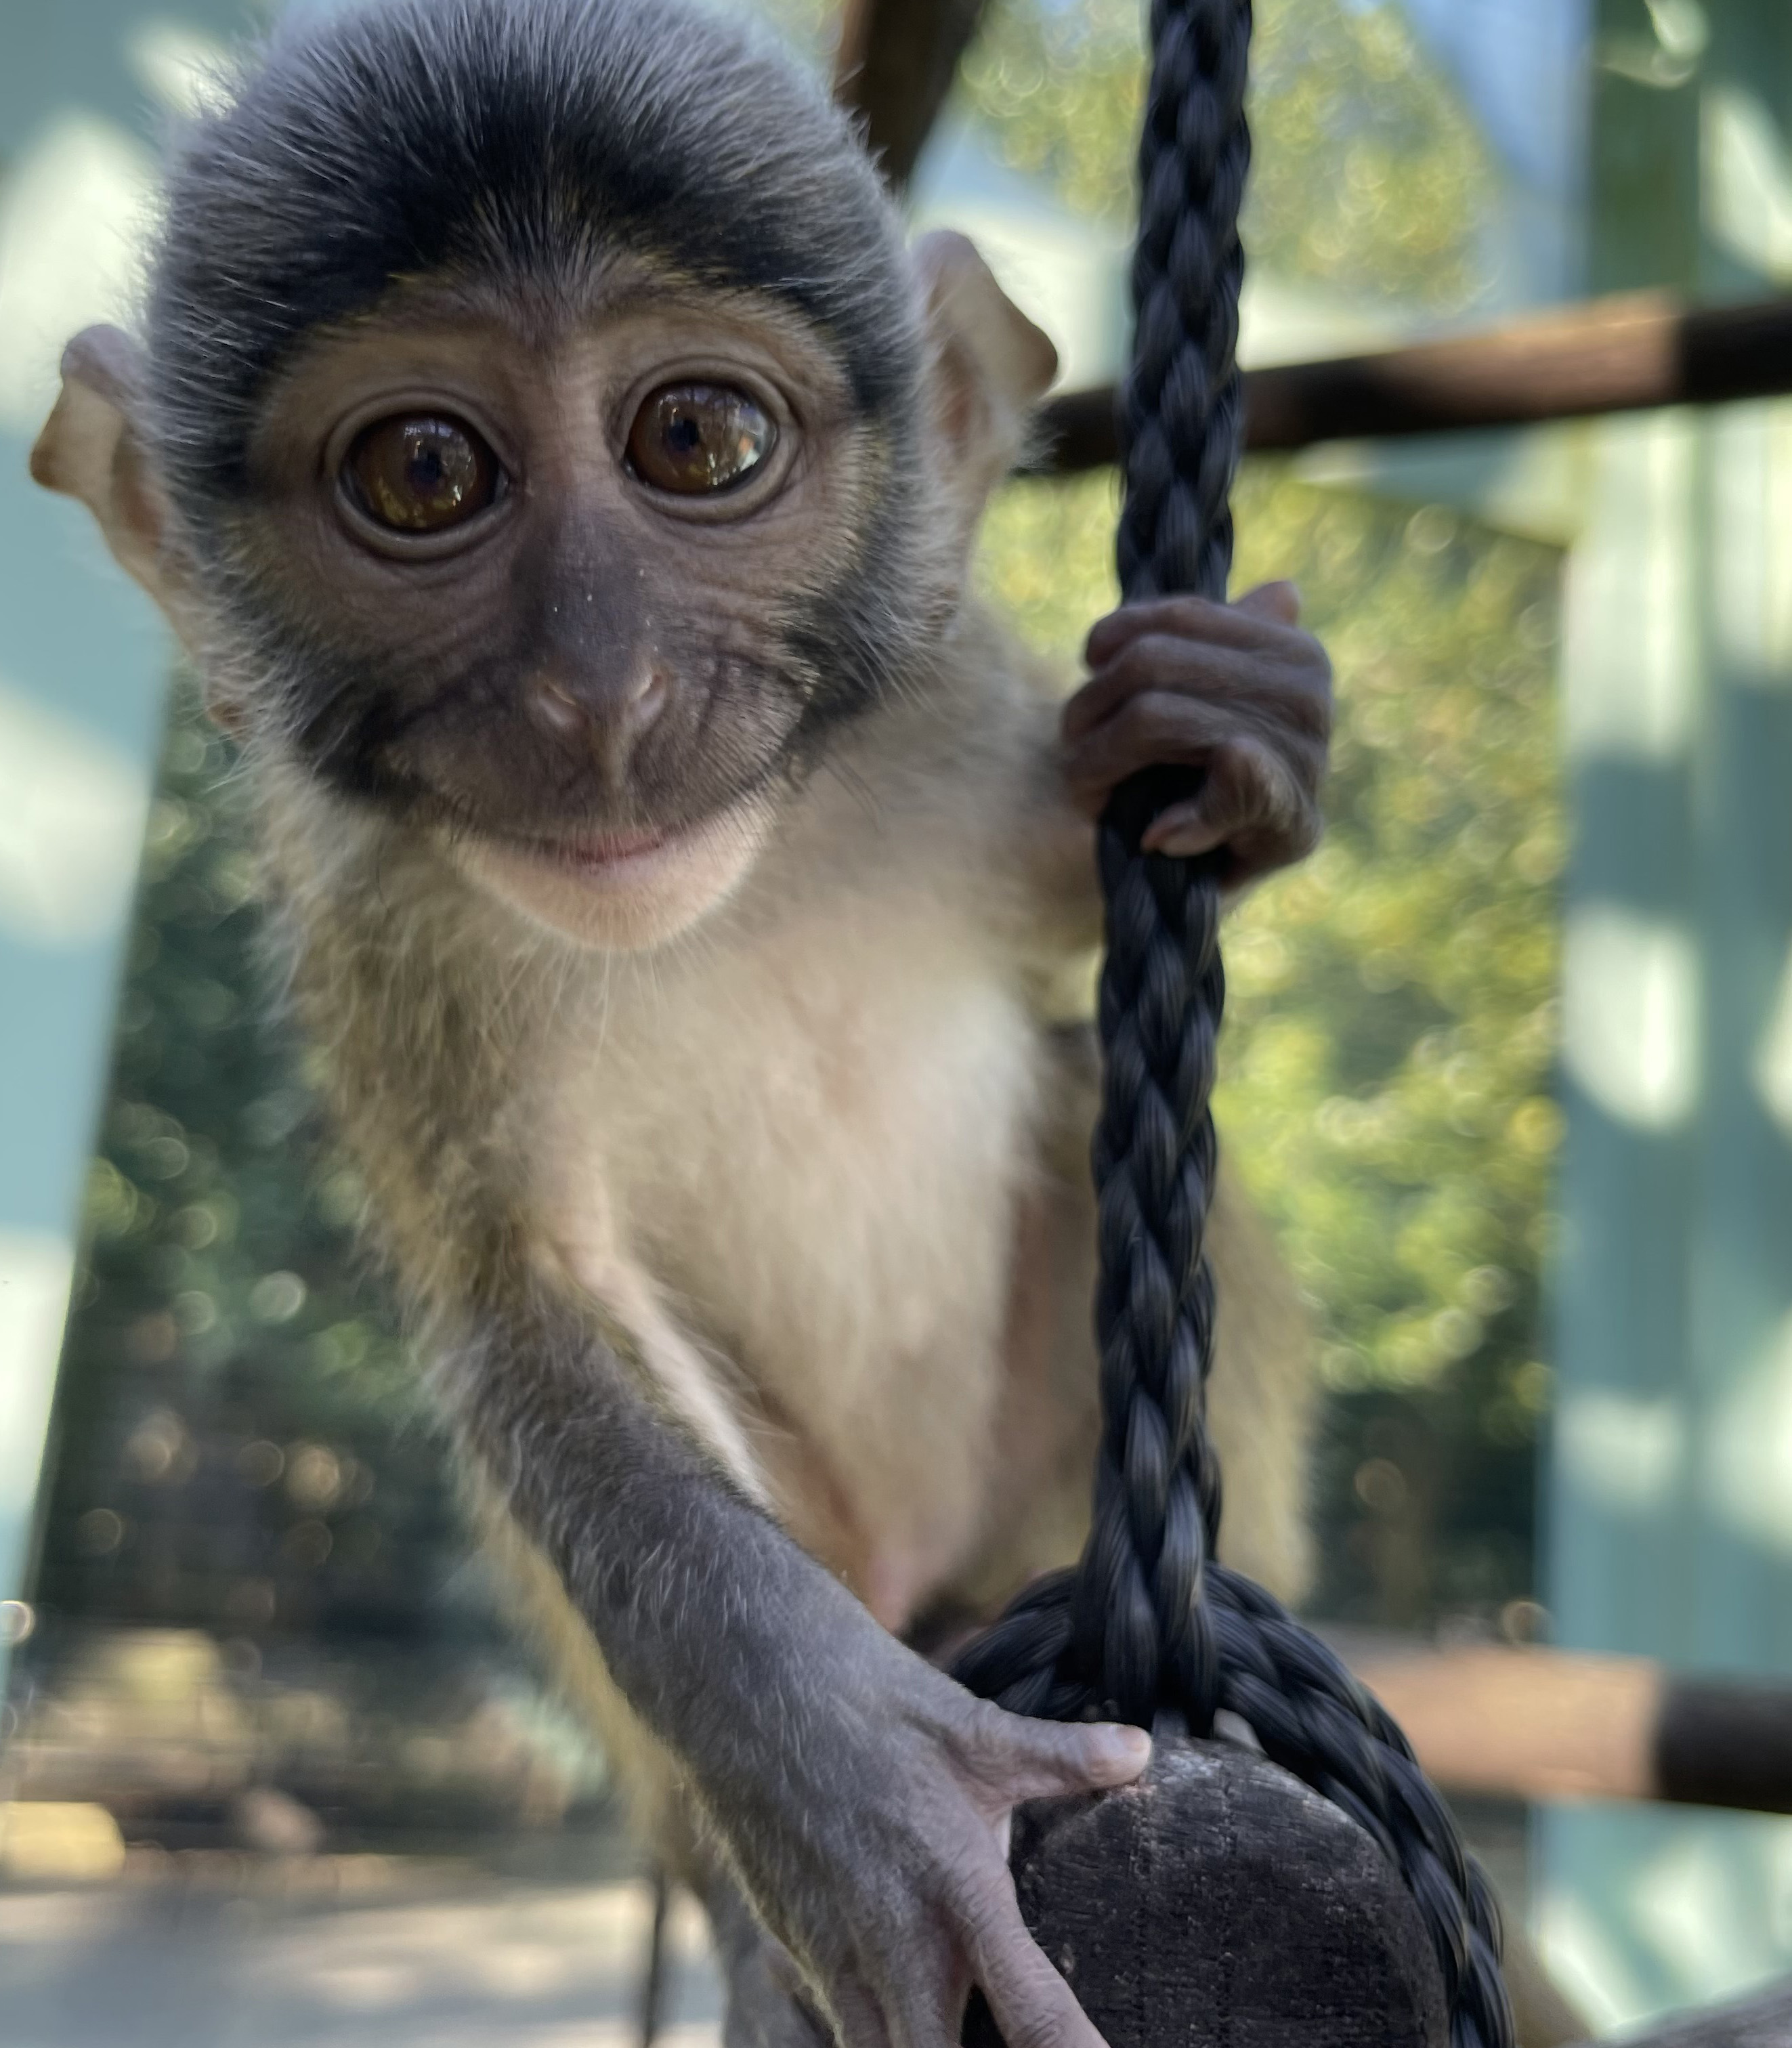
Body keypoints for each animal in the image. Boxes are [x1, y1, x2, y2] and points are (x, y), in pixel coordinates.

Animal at [31, 3, 1335, 2048]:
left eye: (698, 441)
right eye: (424, 472)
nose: (604, 693)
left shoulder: (935, 707)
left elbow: (1084, 863)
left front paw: (1249, 727)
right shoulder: (391, 920)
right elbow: (526, 1299)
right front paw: (867, 1793)